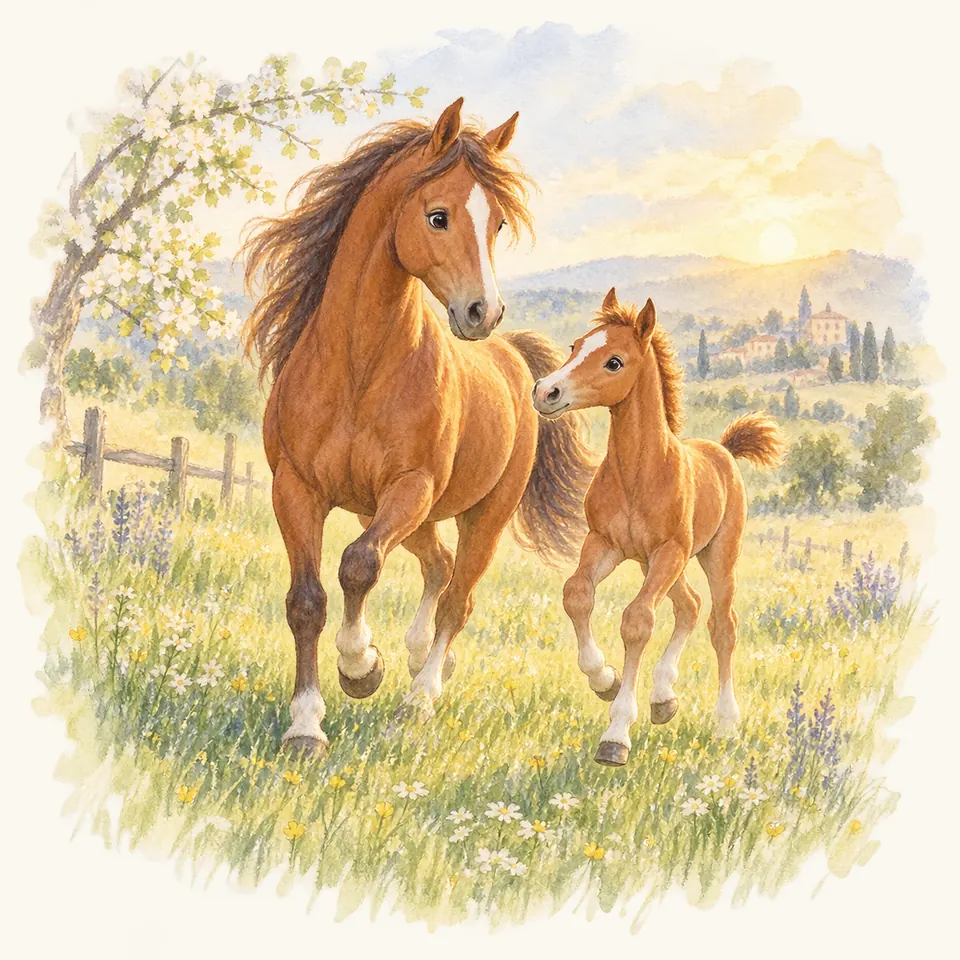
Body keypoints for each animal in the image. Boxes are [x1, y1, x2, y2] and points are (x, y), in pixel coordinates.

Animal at [242, 98, 595, 755]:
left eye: (498, 224)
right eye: (438, 216)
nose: (483, 312)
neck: (359, 368)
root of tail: (513, 359)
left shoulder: (409, 487)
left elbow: (358, 565)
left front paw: (360, 666)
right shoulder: (297, 490)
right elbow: (307, 601)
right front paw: (306, 725)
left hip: (482, 515)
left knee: (459, 596)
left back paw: (418, 698)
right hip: (419, 518)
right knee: (439, 567)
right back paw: (415, 657)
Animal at [532, 289, 786, 767]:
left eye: (614, 361)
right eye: (576, 345)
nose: (545, 391)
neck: (639, 472)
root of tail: (724, 450)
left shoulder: (668, 550)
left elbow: (637, 620)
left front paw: (616, 734)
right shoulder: (604, 544)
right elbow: (577, 594)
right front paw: (604, 679)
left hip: (712, 556)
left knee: (722, 624)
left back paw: (726, 722)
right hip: (661, 563)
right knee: (689, 605)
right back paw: (664, 697)